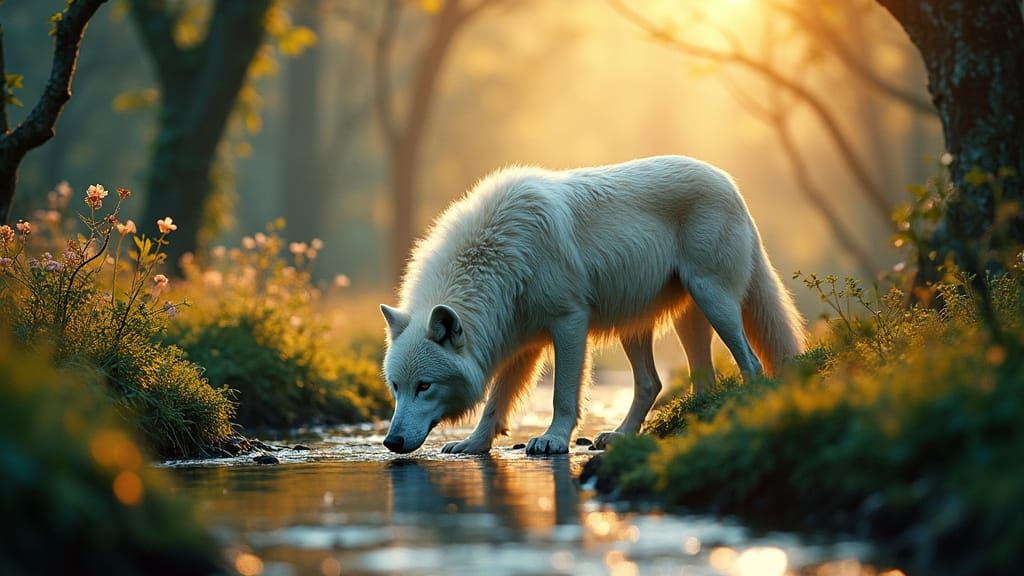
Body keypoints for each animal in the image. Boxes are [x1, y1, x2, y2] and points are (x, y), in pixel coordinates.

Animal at [380, 155, 805, 455]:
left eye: (424, 386)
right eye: (396, 387)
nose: (391, 442)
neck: (500, 256)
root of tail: (730, 183)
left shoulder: (569, 322)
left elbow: (563, 395)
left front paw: (551, 440)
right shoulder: (521, 341)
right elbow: (496, 402)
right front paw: (473, 444)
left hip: (714, 301)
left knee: (750, 362)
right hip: (655, 323)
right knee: (666, 381)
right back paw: (633, 433)